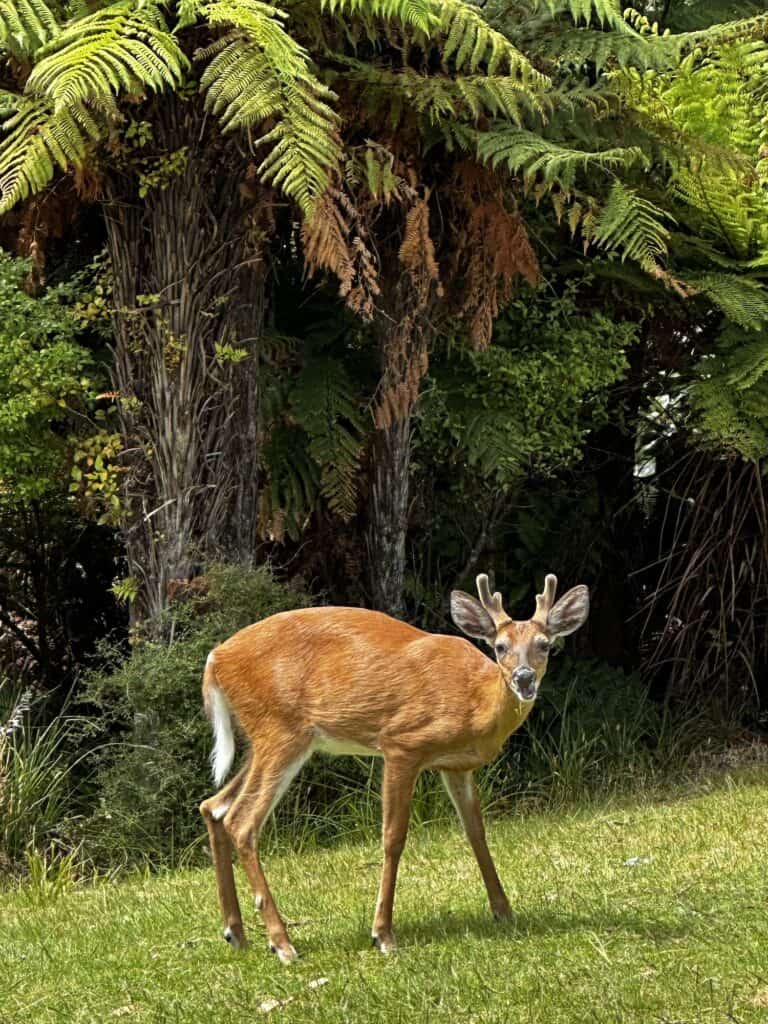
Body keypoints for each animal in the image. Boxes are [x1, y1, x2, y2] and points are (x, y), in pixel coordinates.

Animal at [199, 572, 589, 963]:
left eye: (545, 645)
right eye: (501, 647)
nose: (524, 678)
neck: (475, 700)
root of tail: (215, 659)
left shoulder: (457, 766)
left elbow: (476, 832)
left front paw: (503, 911)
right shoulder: (401, 744)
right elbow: (393, 837)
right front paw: (382, 933)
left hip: (263, 739)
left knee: (214, 806)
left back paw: (235, 932)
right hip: (281, 729)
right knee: (242, 821)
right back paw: (282, 943)